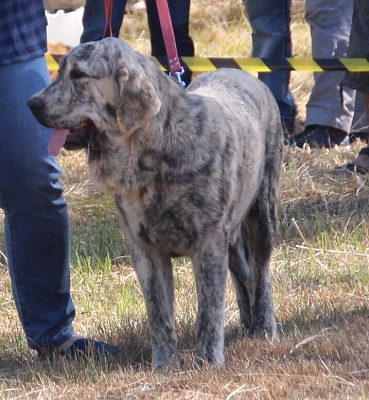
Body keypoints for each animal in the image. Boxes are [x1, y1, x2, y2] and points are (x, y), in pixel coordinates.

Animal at [28, 37, 282, 368]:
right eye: (60, 72)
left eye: (79, 75)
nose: (32, 103)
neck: (157, 152)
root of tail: (241, 72)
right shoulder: (146, 249)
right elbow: (159, 313)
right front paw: (164, 365)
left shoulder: (208, 243)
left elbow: (209, 310)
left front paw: (208, 361)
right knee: (243, 273)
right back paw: (247, 324)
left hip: (262, 213)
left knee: (260, 274)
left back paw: (264, 329)